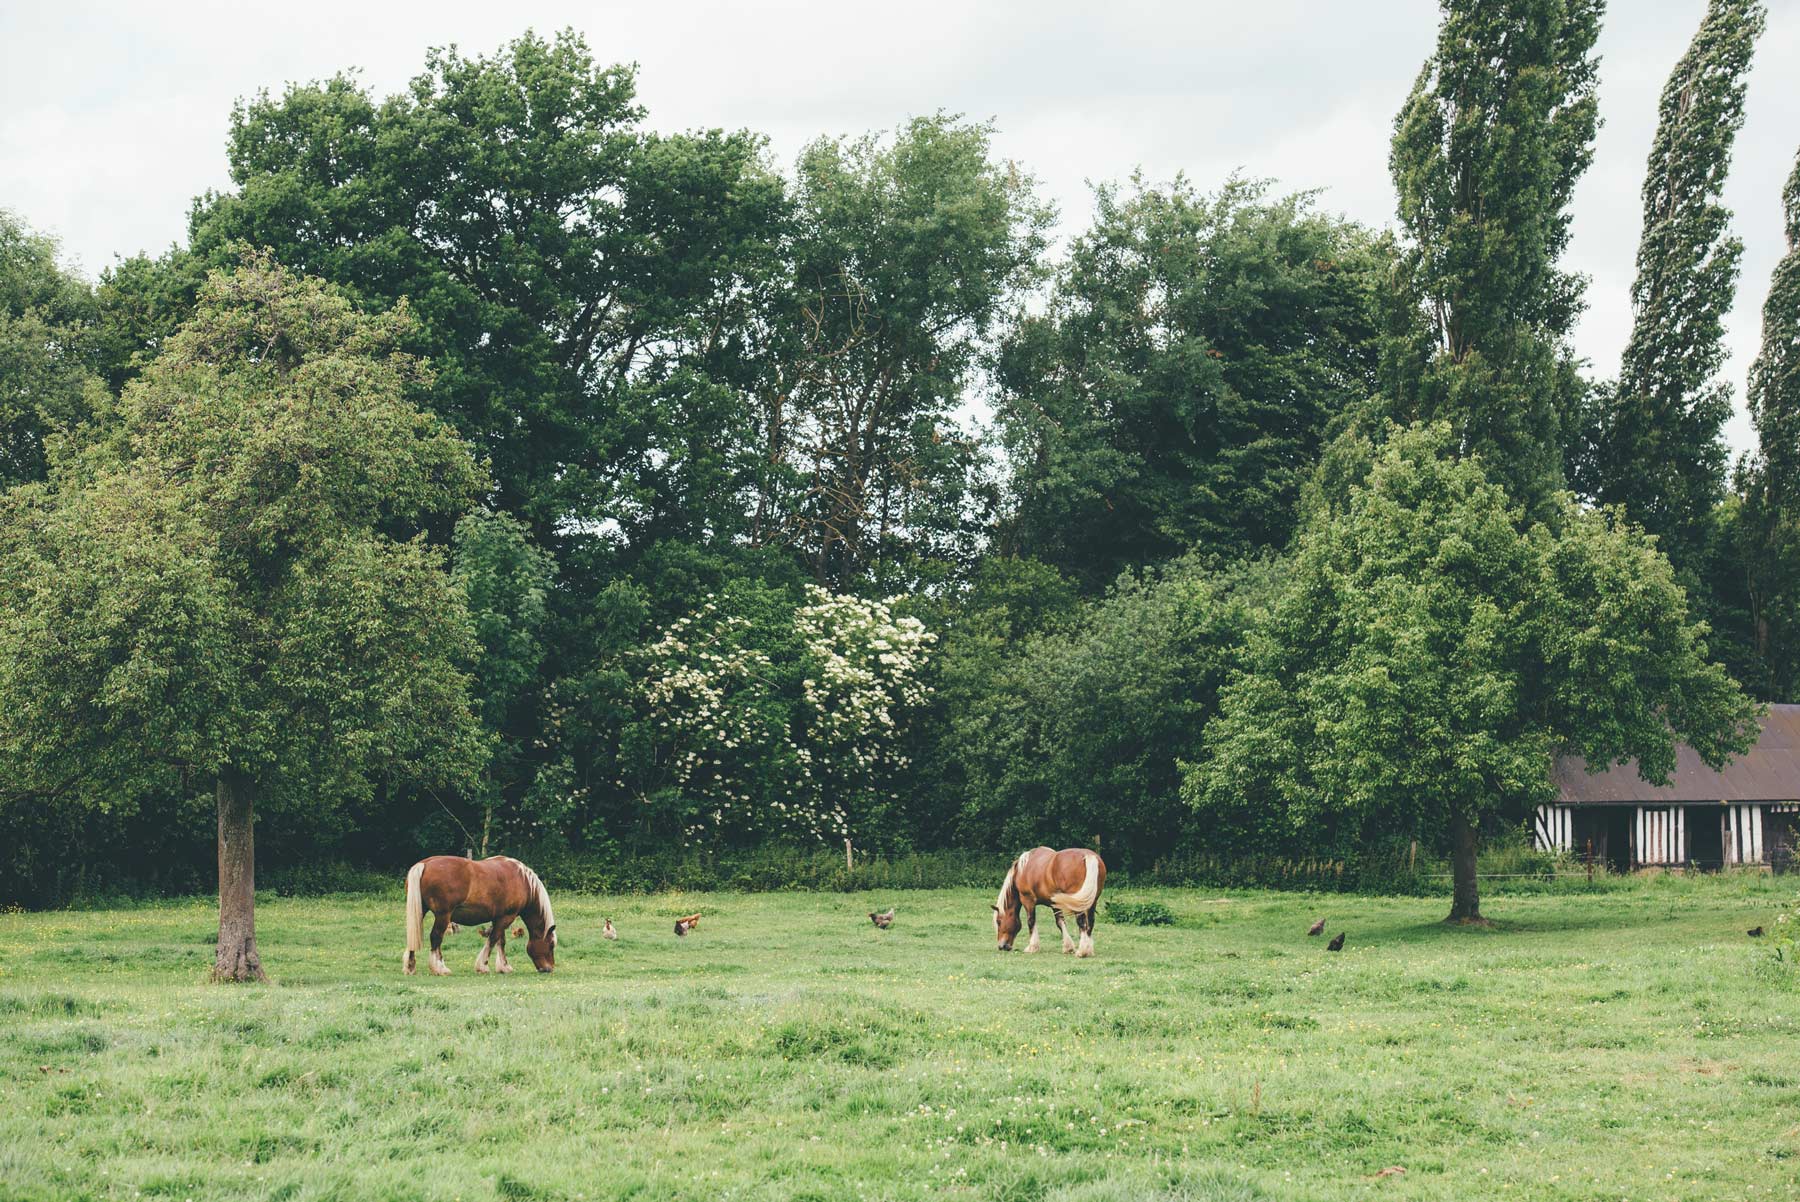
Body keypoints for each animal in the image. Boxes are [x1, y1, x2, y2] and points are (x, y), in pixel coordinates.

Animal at [405, 852, 558, 978]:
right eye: (551, 945)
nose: (549, 968)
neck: (523, 880)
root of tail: (424, 864)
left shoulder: (499, 918)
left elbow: (500, 941)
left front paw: (504, 967)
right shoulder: (506, 918)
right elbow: (493, 939)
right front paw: (483, 966)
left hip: (420, 913)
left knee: (413, 936)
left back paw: (410, 967)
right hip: (443, 915)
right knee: (436, 937)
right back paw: (440, 968)